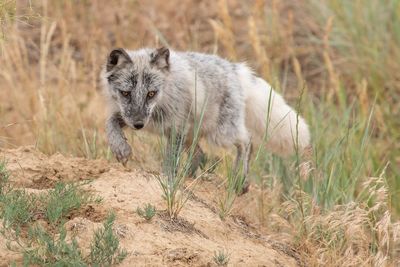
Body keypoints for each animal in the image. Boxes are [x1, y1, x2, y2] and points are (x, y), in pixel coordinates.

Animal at [101, 47, 310, 193]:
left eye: (151, 93)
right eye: (126, 93)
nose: (138, 125)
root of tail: (234, 68)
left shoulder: (175, 129)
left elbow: (170, 161)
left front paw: (167, 181)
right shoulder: (131, 117)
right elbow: (110, 123)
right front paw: (120, 148)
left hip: (221, 134)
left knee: (247, 141)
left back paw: (240, 181)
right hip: (192, 136)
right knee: (201, 155)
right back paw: (188, 176)